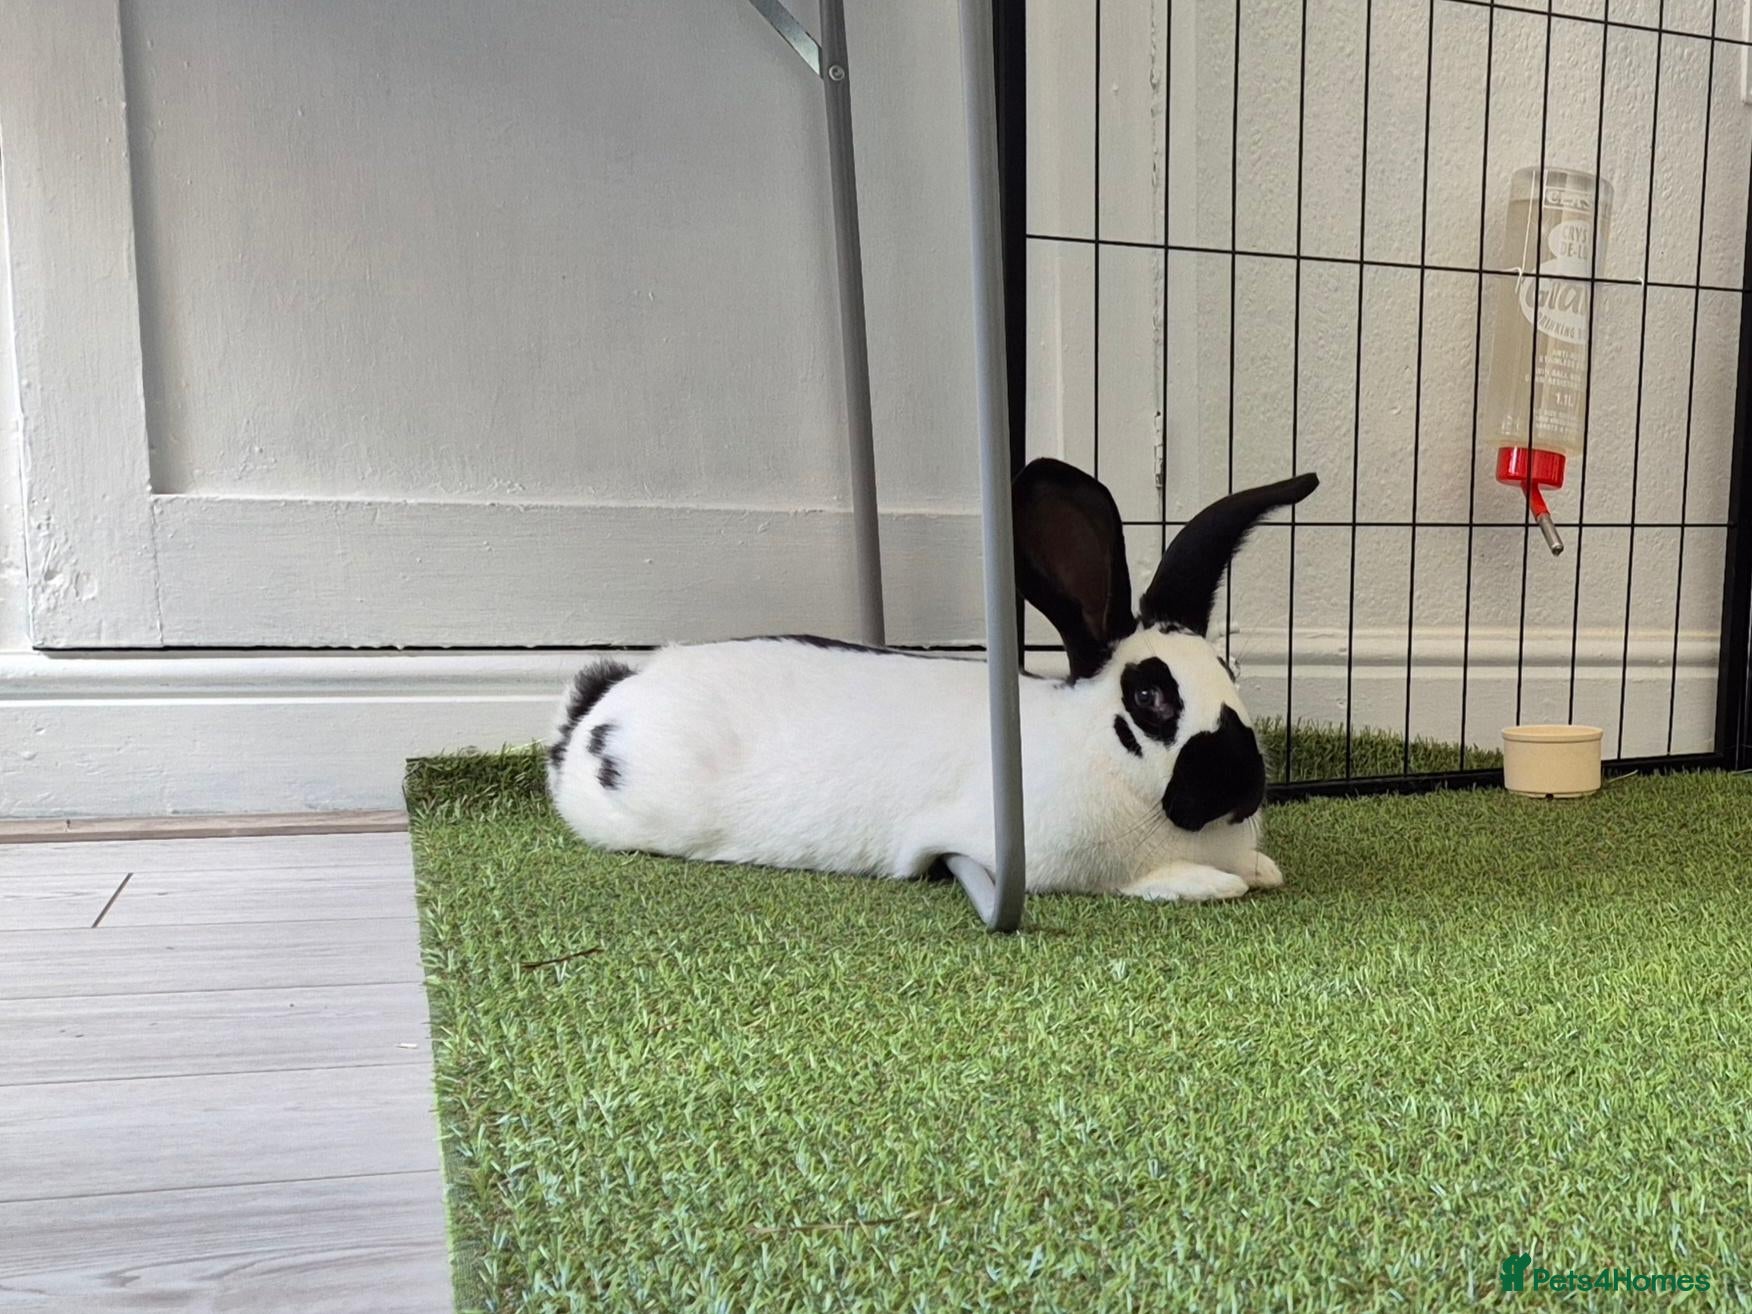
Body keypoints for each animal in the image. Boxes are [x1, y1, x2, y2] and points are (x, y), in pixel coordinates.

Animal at [547, 458, 1317, 902]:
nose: (1242, 783)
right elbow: (1139, 881)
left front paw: (1260, 868)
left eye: (1230, 671)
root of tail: (597, 710)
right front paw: (1212, 882)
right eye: (1150, 696)